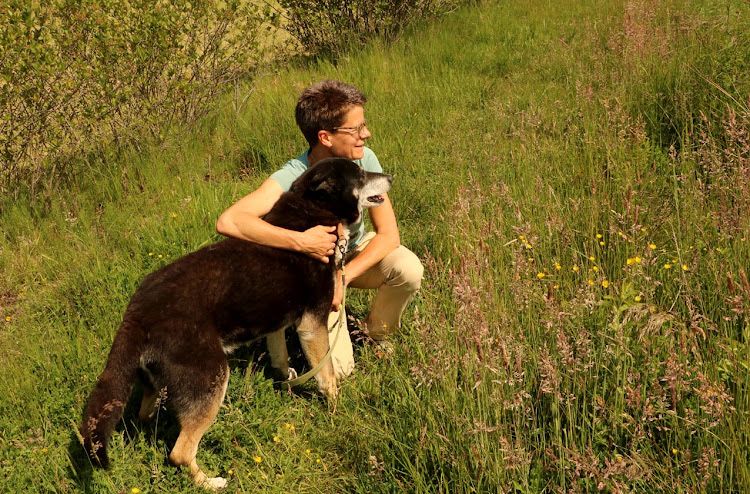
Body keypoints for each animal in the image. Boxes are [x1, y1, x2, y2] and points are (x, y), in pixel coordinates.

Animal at [81, 159, 394, 490]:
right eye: (360, 175)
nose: (390, 177)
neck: (314, 210)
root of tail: (136, 312)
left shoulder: (279, 321)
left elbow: (281, 356)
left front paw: (287, 380)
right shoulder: (312, 323)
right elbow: (328, 379)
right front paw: (337, 410)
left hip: (161, 381)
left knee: (145, 414)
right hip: (212, 378)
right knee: (180, 452)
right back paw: (210, 482)